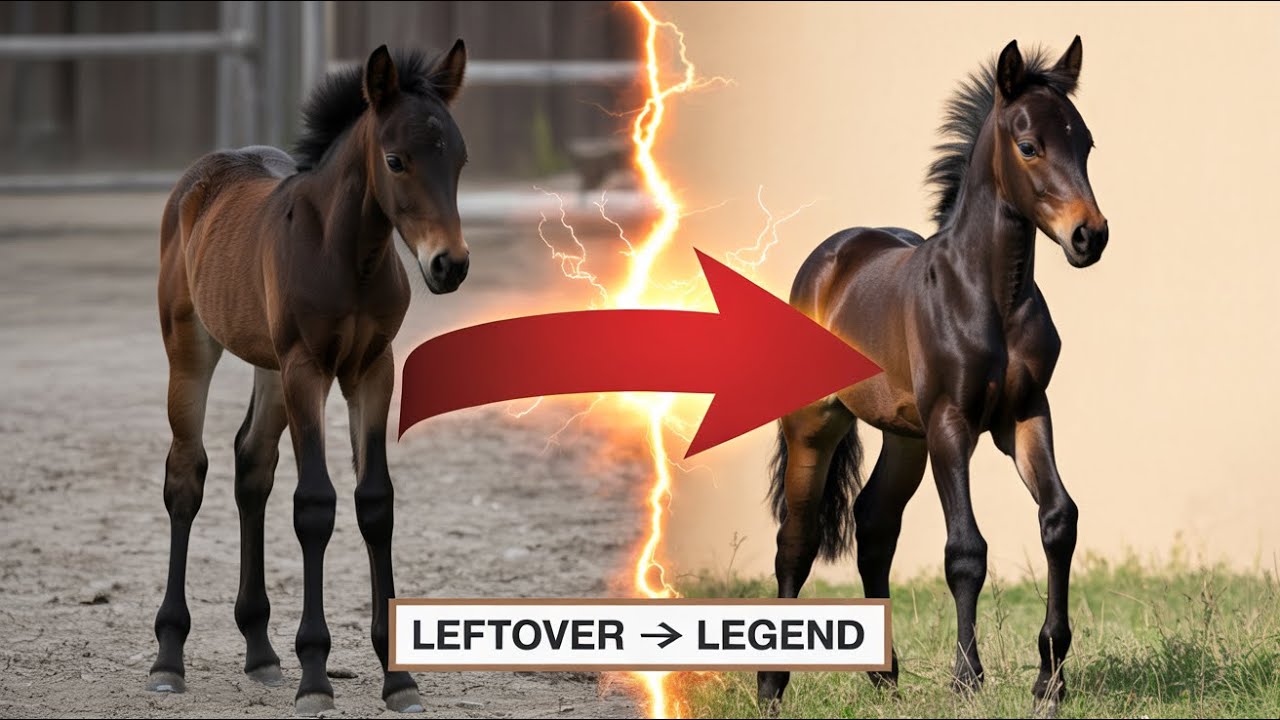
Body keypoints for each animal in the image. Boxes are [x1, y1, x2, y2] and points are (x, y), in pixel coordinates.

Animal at [148, 43, 470, 715]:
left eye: (459, 158)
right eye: (396, 160)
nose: (449, 265)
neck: (348, 255)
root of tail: (200, 180)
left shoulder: (372, 368)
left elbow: (375, 502)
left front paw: (398, 678)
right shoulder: (308, 368)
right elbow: (315, 505)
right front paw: (316, 674)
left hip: (269, 367)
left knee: (252, 464)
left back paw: (260, 651)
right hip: (192, 345)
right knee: (187, 473)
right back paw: (168, 657)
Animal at [759, 37, 1107, 714]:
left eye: (1086, 144)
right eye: (1030, 145)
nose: (1090, 236)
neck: (991, 295)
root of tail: (829, 258)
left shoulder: (1026, 414)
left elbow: (1059, 519)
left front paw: (1049, 677)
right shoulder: (952, 422)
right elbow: (965, 550)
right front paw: (967, 679)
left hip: (904, 437)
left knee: (873, 524)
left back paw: (885, 676)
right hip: (814, 423)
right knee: (798, 537)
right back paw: (771, 685)